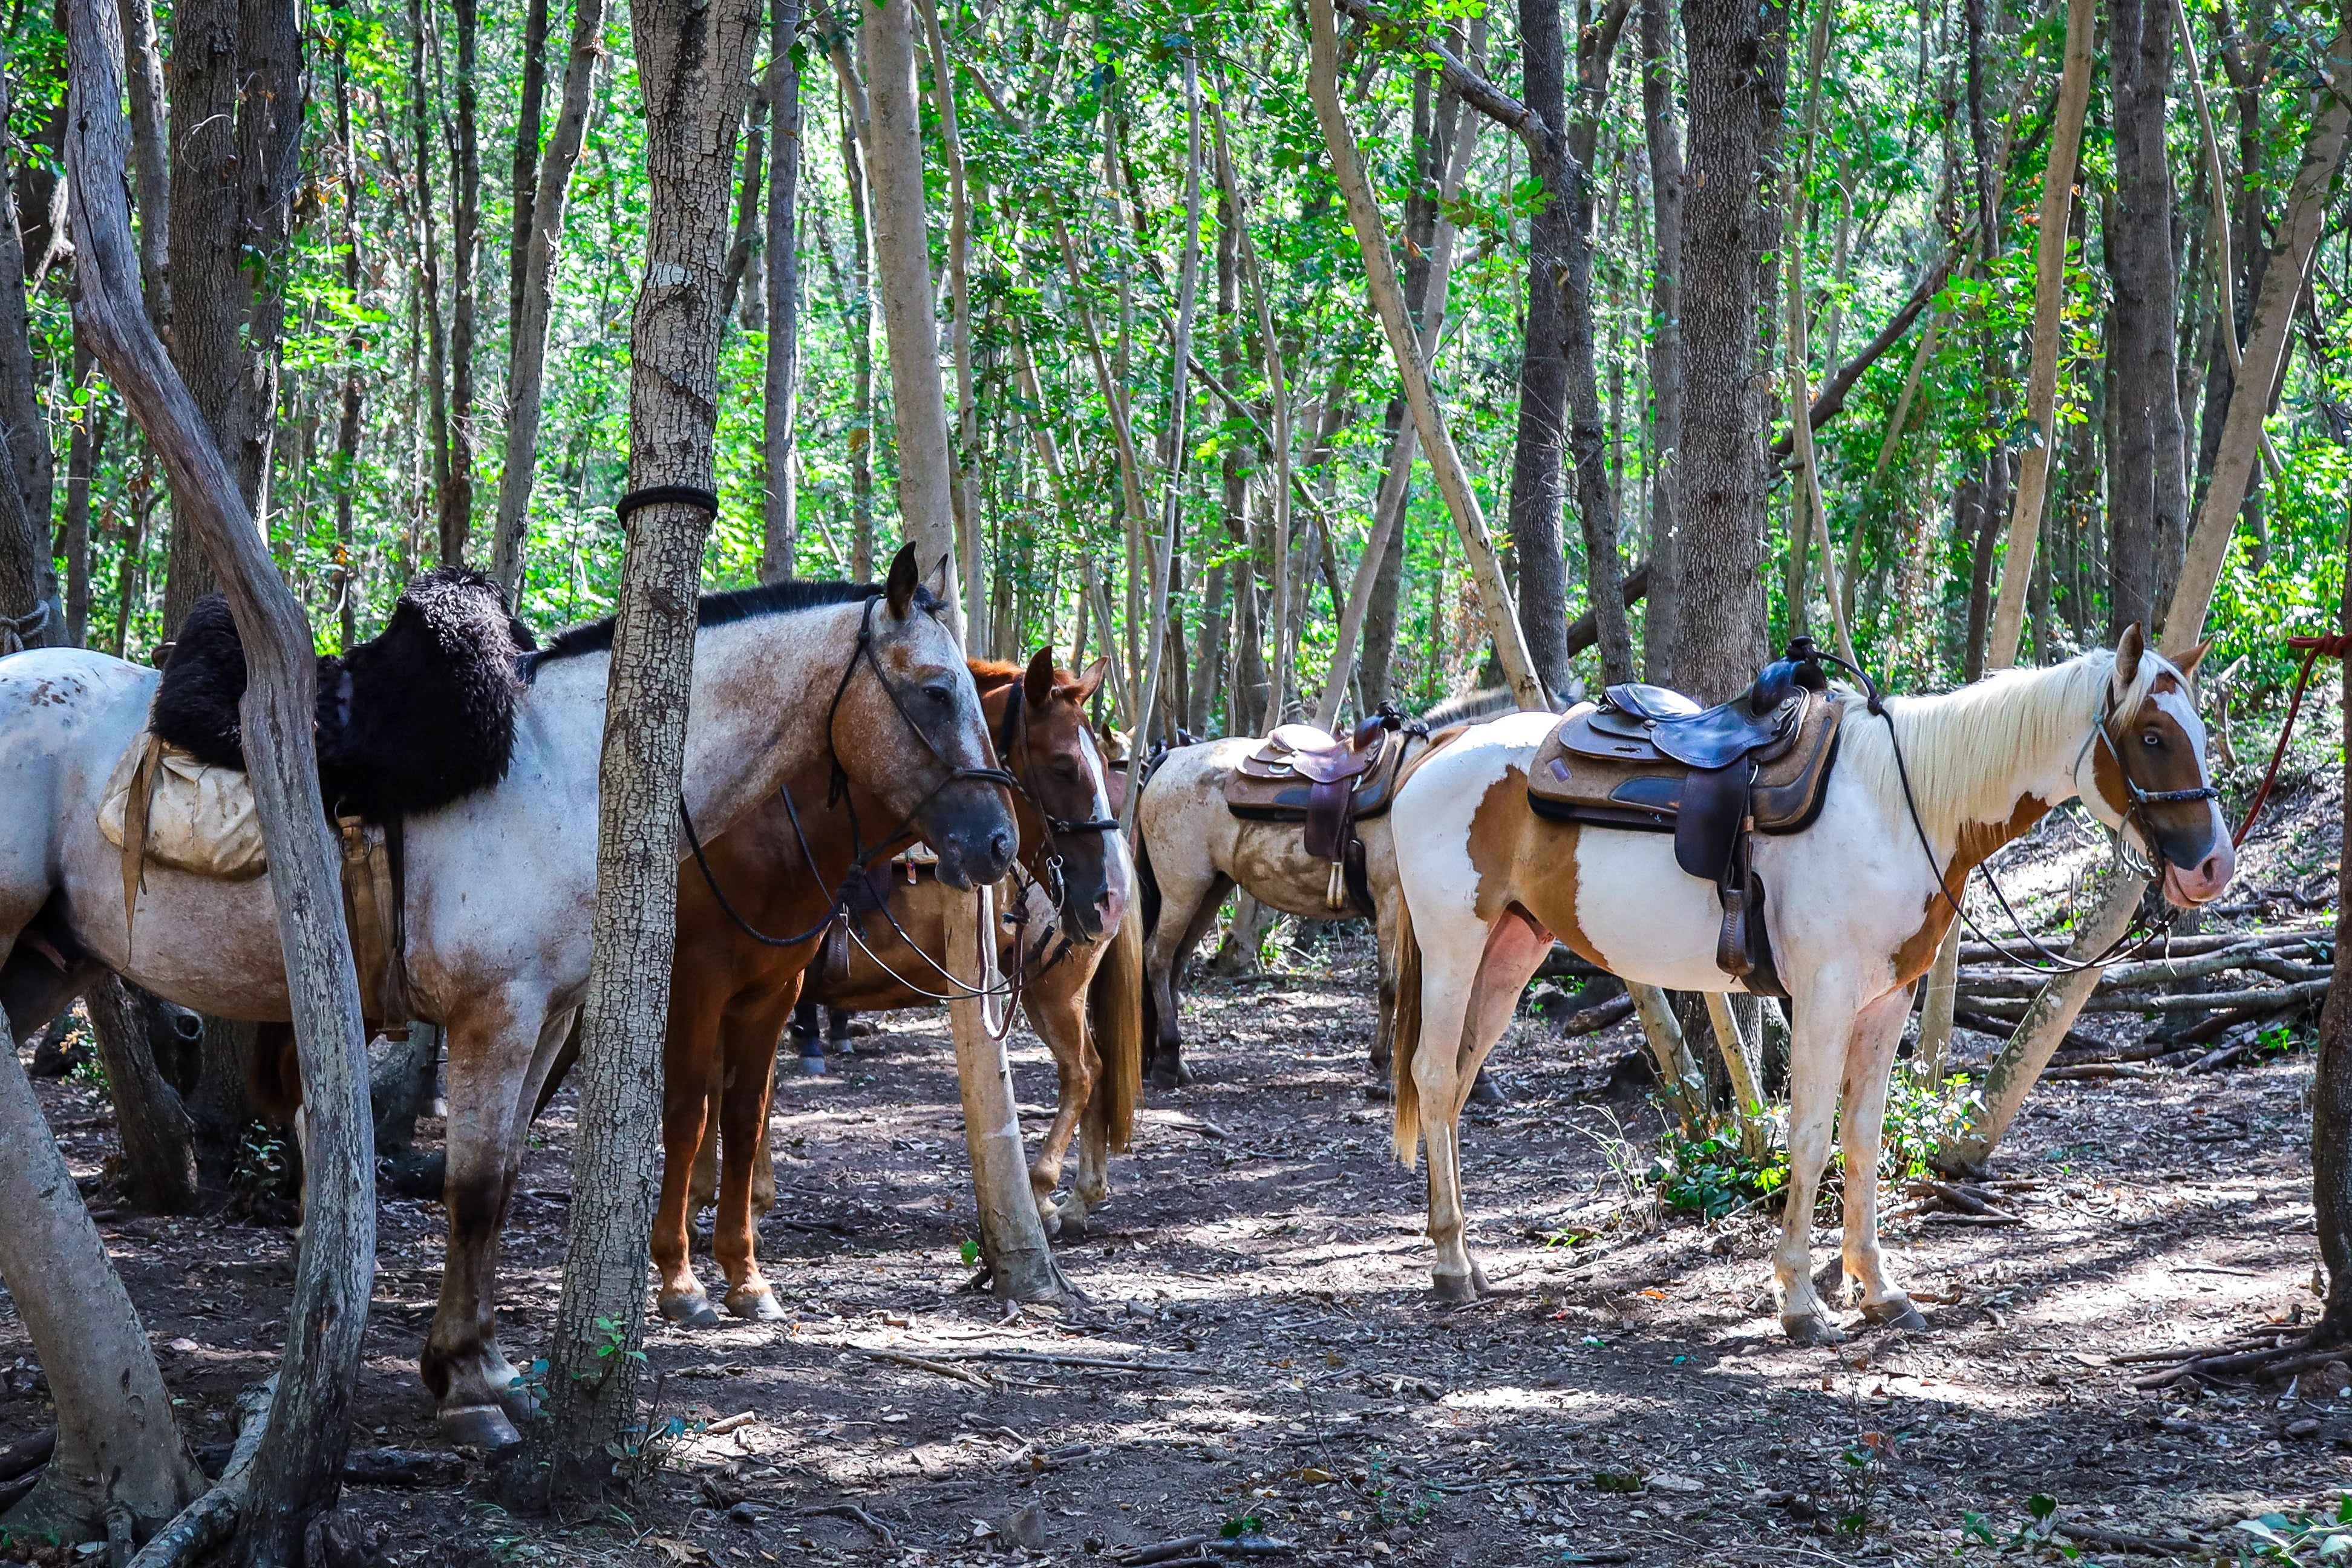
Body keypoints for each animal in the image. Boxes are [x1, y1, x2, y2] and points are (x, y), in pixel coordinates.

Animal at [0, 552, 1016, 1448]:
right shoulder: (499, 1017)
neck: (561, 776)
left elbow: (509, 1180)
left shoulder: (551, 1019)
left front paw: (483, 1370)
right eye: (935, 691)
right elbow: (478, 1190)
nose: (999, 843)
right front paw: (466, 1391)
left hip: (47, 961)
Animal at [658, 648, 1143, 1325]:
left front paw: (738, 1208)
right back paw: (1080, 1198)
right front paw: (725, 1203)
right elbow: (727, 1090)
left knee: (1083, 1072)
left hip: (1055, 993)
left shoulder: (735, 981)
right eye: (1064, 765)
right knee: (1097, 1070)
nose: (1107, 895)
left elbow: (730, 1095)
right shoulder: (729, 983)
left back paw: (1047, 1190)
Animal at [1383, 630, 2229, 1344]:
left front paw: (1880, 1292)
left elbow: (1863, 1138)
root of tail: (1442, 748)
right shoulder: (1824, 996)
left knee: (1455, 1082)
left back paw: (1467, 1259)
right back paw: (1451, 1264)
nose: (2213, 867)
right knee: (1433, 1076)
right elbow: (1812, 1137)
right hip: (1456, 946)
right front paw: (1799, 1302)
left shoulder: (1887, 1002)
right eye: (2153, 737)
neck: (1902, 808)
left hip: (1511, 949)